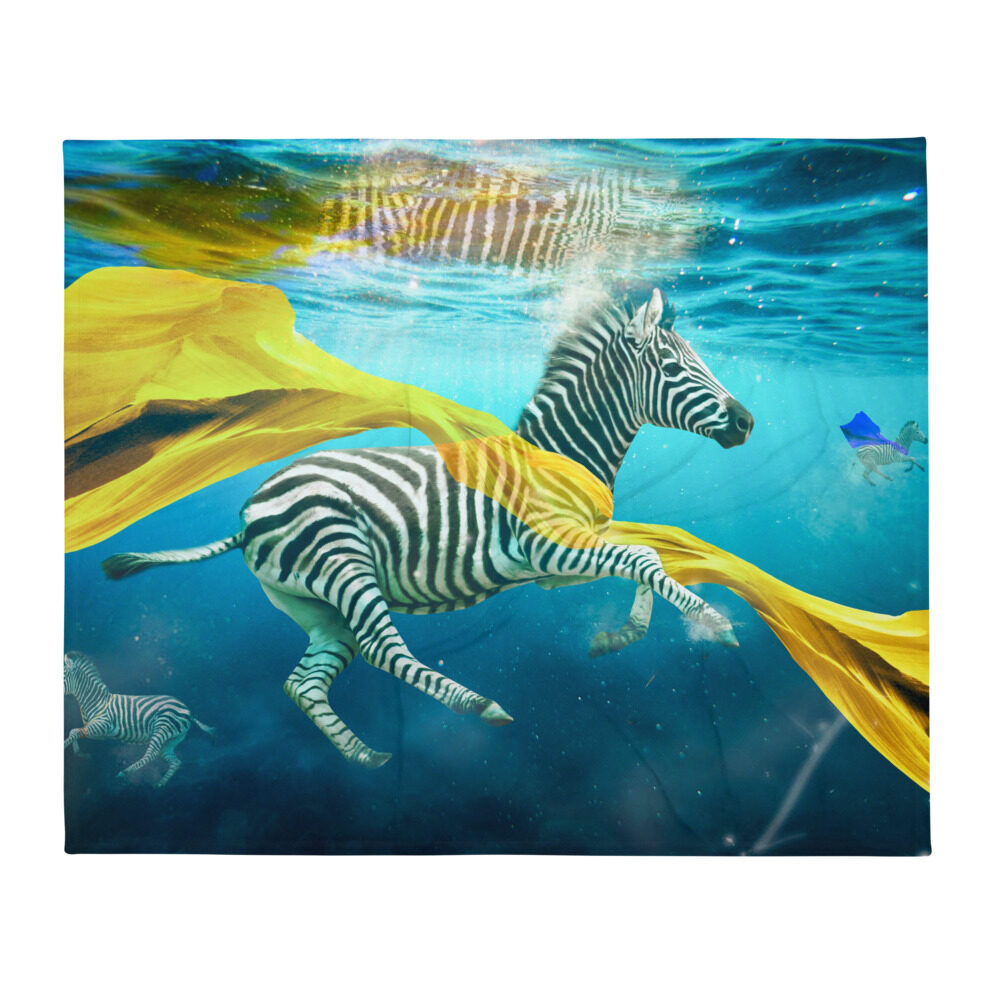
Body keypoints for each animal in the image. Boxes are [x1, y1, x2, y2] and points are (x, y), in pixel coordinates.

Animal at [63, 651, 215, 787]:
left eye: (63, 675)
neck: (96, 700)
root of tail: (188, 711)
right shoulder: (101, 734)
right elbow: (74, 731)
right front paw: (82, 754)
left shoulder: (102, 725)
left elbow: (73, 733)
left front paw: (65, 747)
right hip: (171, 740)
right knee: (175, 761)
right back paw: (159, 784)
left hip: (162, 727)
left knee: (152, 754)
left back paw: (125, 772)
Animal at [102, 288, 753, 769]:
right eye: (673, 367)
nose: (747, 422)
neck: (558, 455)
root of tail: (247, 512)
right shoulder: (543, 545)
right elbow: (645, 559)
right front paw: (716, 623)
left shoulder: (554, 565)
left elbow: (643, 559)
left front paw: (619, 636)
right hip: (344, 563)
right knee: (383, 649)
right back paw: (477, 703)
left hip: (317, 607)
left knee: (303, 683)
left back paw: (363, 755)